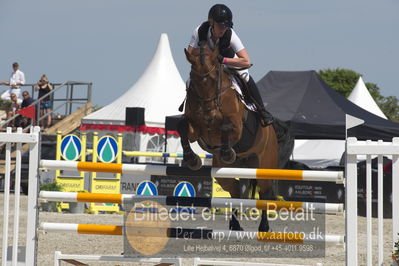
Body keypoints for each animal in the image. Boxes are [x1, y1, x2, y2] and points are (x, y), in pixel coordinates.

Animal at [180, 44, 280, 232]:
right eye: (193, 79)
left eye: (214, 79)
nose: (208, 112)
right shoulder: (196, 130)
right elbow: (183, 128)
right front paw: (192, 159)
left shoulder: (237, 127)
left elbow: (226, 127)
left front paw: (227, 152)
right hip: (224, 173)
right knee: (235, 191)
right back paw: (235, 224)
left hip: (264, 166)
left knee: (264, 192)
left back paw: (263, 227)